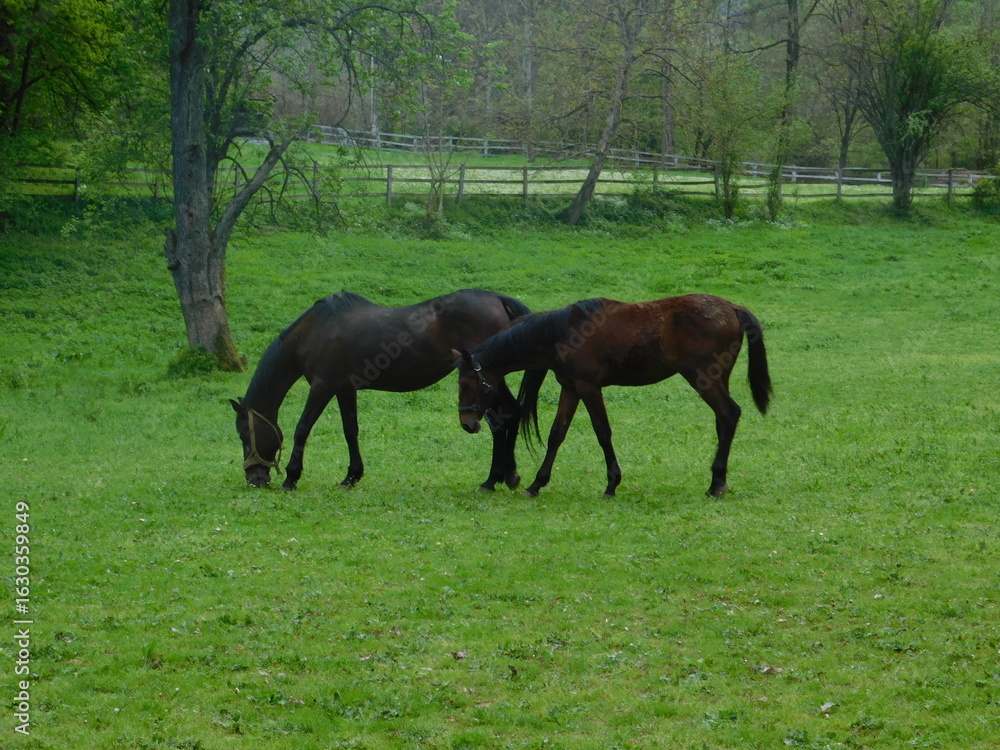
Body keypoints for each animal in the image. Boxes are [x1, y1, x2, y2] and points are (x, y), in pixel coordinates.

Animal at [230, 289, 536, 491]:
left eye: (245, 434)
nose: (255, 478)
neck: (314, 332)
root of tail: (496, 299)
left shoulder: (322, 387)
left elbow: (302, 428)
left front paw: (292, 477)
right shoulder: (344, 390)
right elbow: (350, 430)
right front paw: (352, 476)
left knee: (504, 417)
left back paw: (493, 479)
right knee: (509, 414)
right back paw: (507, 476)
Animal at [454, 294, 773, 498]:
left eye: (466, 384)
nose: (467, 423)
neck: (562, 332)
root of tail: (733, 307)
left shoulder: (588, 387)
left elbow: (602, 432)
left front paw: (611, 484)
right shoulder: (571, 388)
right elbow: (557, 433)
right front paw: (537, 484)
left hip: (703, 379)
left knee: (729, 413)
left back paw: (716, 484)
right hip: (718, 378)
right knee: (723, 420)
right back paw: (718, 480)